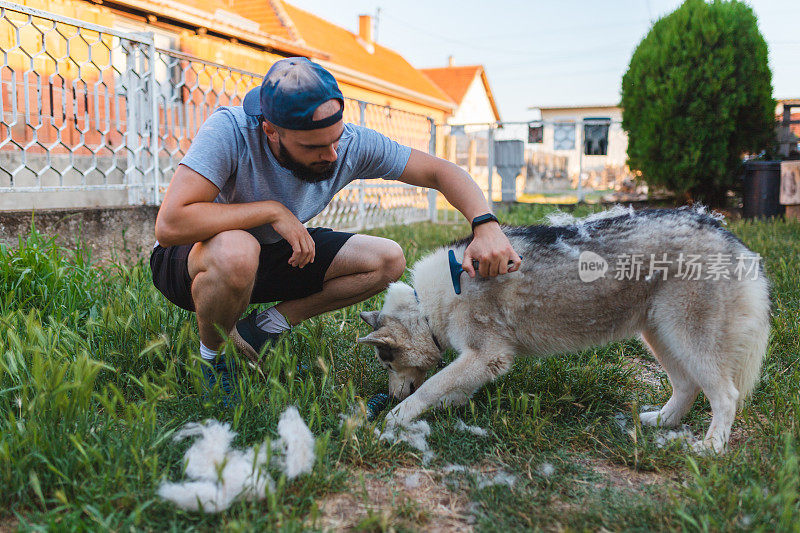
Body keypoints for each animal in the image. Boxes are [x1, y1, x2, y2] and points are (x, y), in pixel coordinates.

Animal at [360, 206, 772, 450]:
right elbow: (449, 385)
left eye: (386, 361)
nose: (389, 397)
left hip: (688, 340)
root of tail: (724, 232)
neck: (427, 308)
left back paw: (710, 449)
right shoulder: (479, 360)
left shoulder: (487, 355)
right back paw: (661, 422)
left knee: (725, 397)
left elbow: (429, 387)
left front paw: (397, 417)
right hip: (661, 337)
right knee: (686, 387)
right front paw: (445, 403)